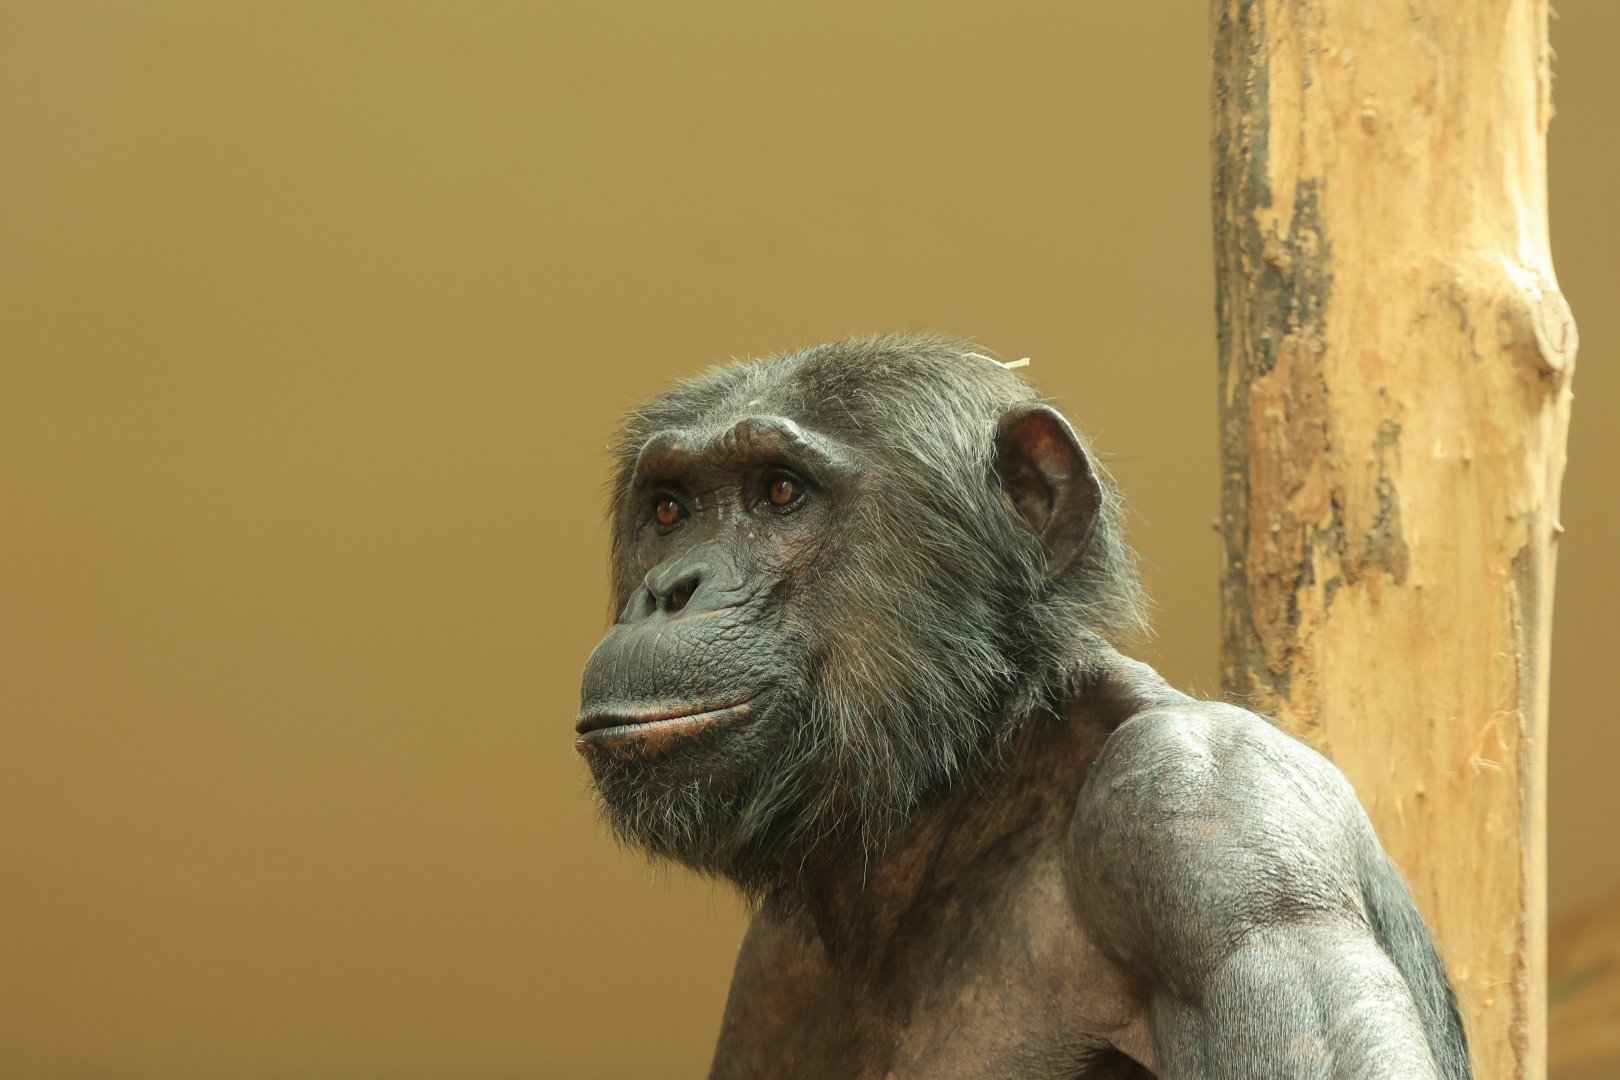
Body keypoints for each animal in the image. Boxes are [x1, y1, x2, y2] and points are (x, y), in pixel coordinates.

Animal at [575, 335, 1470, 1079]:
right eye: (669, 509)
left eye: (780, 493)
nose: (670, 590)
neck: (974, 783)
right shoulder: (768, 968)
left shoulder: (1218, 831)